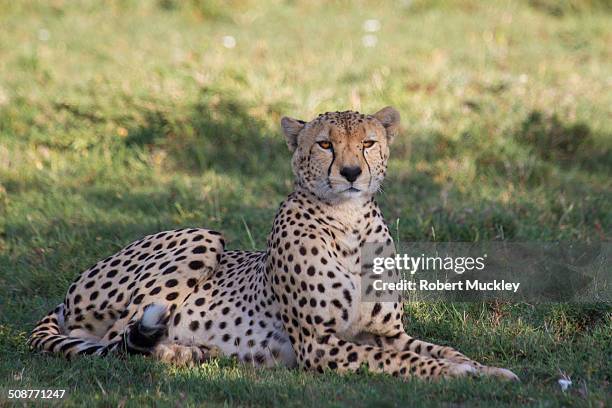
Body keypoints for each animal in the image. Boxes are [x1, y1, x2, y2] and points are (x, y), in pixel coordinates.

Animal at [27, 107, 516, 380]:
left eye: (368, 142)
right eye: (325, 145)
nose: (351, 173)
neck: (350, 223)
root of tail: (67, 295)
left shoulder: (387, 334)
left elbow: (439, 349)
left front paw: (487, 369)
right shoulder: (317, 344)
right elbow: (410, 363)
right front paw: (458, 374)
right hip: (201, 235)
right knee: (118, 342)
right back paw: (183, 351)